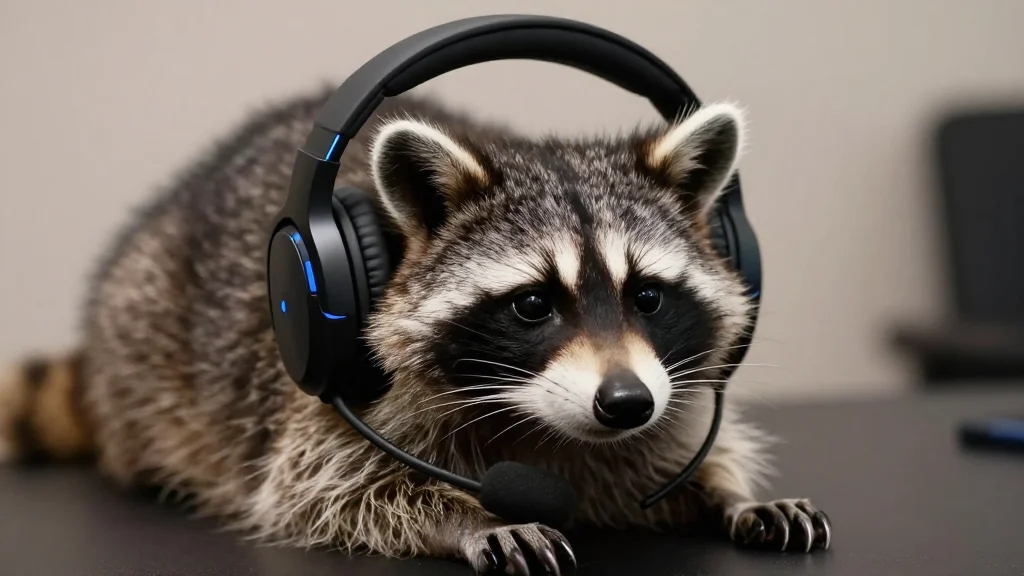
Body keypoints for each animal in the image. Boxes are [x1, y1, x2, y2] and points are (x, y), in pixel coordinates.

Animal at [0, 86, 831, 574]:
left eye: (649, 296)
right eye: (534, 305)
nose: (625, 403)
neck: (547, 425)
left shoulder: (663, 398)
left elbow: (679, 457)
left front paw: (729, 491)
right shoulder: (342, 407)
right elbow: (330, 493)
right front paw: (465, 517)